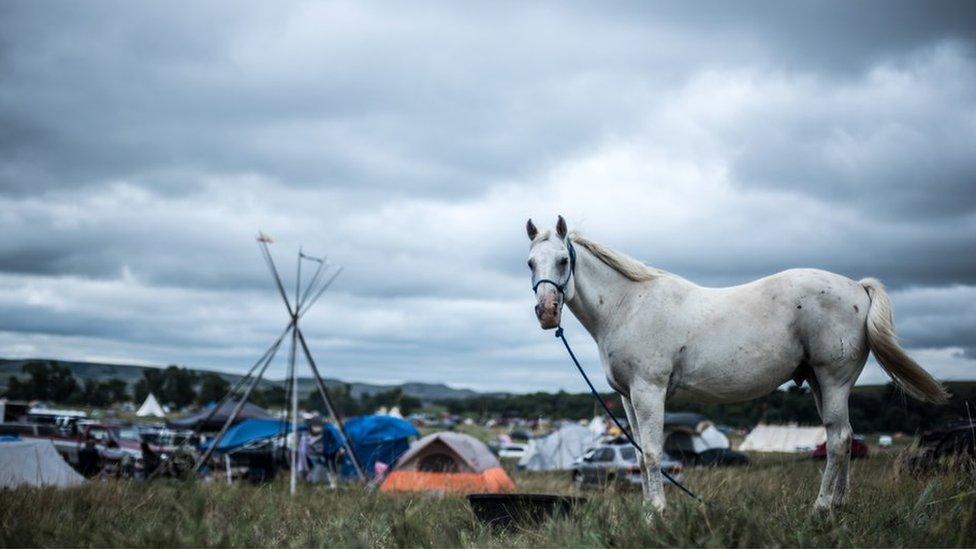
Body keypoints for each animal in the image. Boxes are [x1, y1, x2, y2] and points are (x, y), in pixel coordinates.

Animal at [528, 214, 948, 510]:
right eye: (531, 262)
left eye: (563, 260)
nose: (547, 312)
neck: (629, 305)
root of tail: (858, 287)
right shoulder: (628, 397)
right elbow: (638, 454)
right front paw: (649, 509)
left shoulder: (650, 391)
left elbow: (652, 453)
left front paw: (658, 513)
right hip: (820, 382)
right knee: (843, 437)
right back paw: (839, 505)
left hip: (833, 381)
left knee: (840, 439)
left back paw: (823, 507)